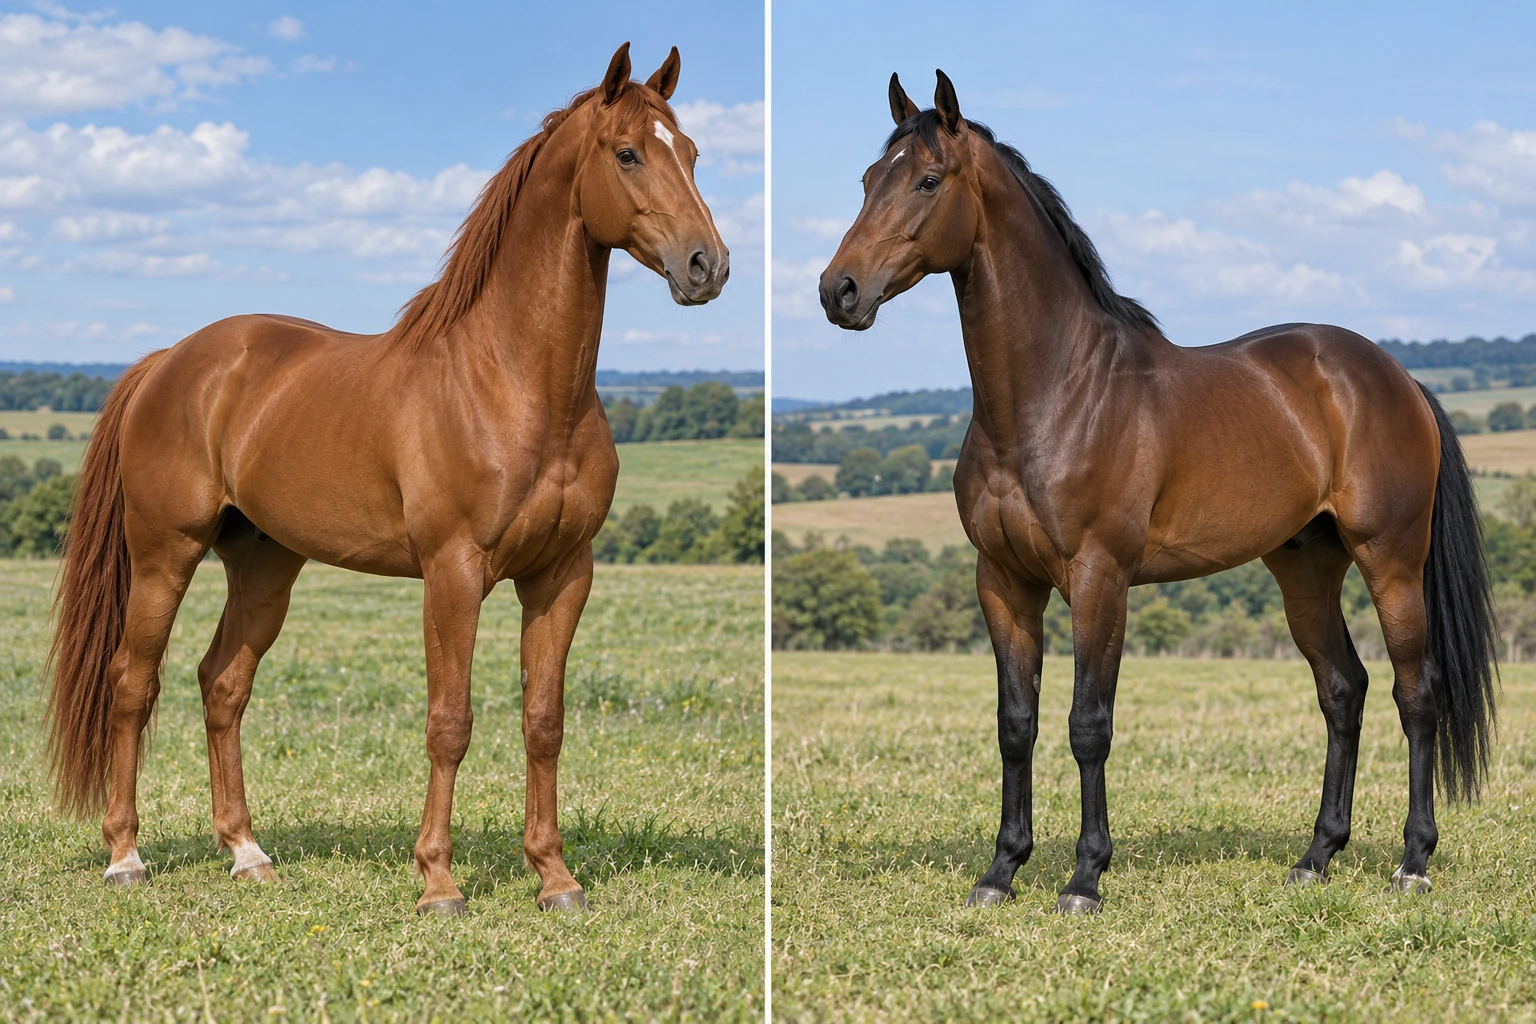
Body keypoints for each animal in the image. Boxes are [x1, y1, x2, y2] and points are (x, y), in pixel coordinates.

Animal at [45, 42, 729, 917]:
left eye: (693, 153)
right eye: (628, 153)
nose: (707, 266)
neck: (515, 382)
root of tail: (172, 361)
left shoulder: (562, 575)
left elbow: (544, 721)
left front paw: (555, 877)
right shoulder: (453, 572)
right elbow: (450, 722)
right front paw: (438, 882)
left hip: (264, 566)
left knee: (222, 684)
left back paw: (247, 852)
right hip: (165, 554)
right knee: (134, 684)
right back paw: (125, 857)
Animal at [819, 70, 1496, 914]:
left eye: (927, 180)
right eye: (866, 180)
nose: (838, 291)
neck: (1055, 394)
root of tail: (1395, 377)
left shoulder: (1099, 578)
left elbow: (1088, 724)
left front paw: (1085, 877)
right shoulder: (1002, 582)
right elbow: (1016, 724)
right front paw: (1001, 871)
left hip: (1392, 561)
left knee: (1416, 693)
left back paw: (1413, 860)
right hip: (1305, 569)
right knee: (1344, 689)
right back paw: (1316, 857)